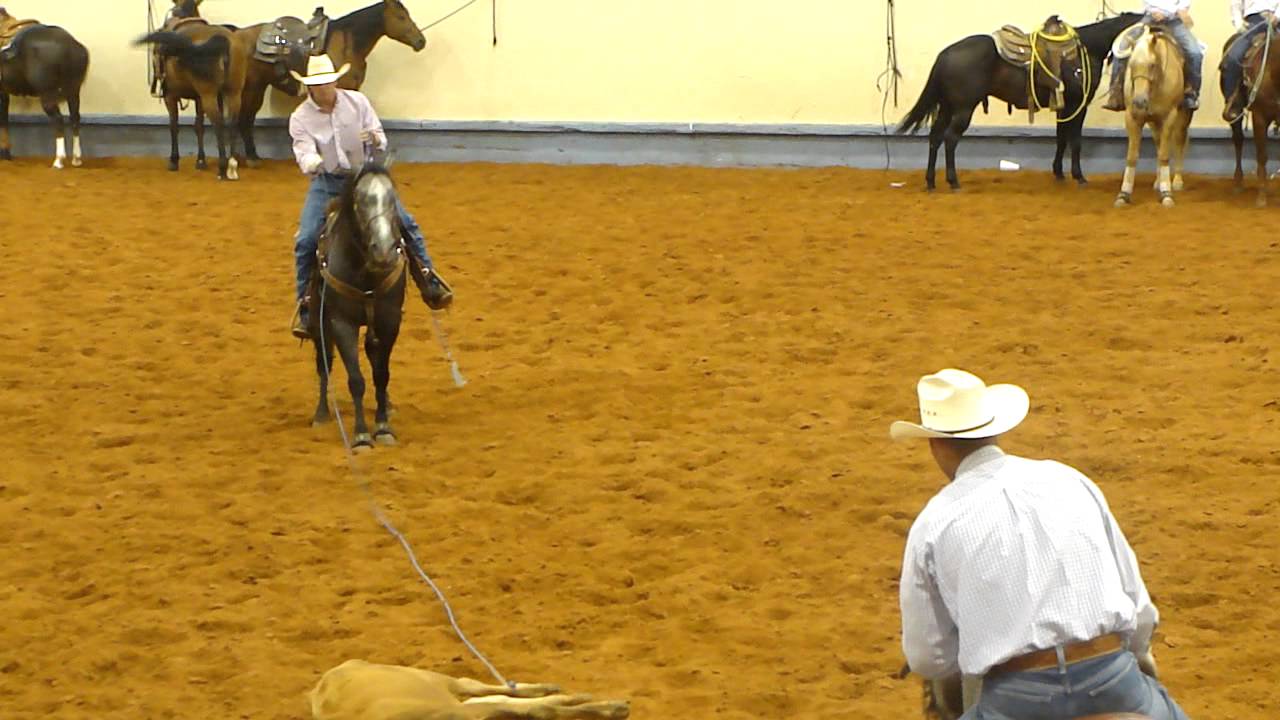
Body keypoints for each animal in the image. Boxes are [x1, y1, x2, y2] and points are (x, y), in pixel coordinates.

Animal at [0, 7, 90, 168]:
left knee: (59, 119)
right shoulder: (4, 92)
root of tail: (71, 45)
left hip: (48, 96)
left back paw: (59, 160)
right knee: (75, 118)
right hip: (73, 92)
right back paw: (76, 158)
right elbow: (4, 120)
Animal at [136, 0, 248, 180]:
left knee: (218, 123)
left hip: (209, 94)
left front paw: (174, 160)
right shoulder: (198, 98)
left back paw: (222, 168)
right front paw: (201, 161)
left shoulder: (170, 96)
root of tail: (224, 40)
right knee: (232, 122)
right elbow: (198, 126)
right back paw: (232, 165)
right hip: (234, 93)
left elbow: (174, 125)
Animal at [308, 162, 409, 449]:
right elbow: (356, 379)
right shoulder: (342, 323)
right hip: (319, 322)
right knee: (324, 363)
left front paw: (383, 426)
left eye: (392, 199)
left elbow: (381, 374)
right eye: (360, 202)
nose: (384, 251)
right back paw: (321, 413)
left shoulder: (389, 321)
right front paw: (361, 435)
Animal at [897, 12, 1142, 191]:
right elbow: (1075, 141)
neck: (1086, 51)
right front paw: (1079, 177)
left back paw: (931, 182)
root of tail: (945, 55)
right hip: (963, 109)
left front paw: (1059, 173)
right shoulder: (1077, 106)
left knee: (935, 138)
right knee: (950, 139)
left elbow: (1061, 139)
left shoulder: (1063, 108)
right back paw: (953, 181)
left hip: (948, 107)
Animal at [1114, 25, 1193, 208]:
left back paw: (1176, 181)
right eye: (1131, 65)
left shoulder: (1170, 117)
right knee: (1158, 143)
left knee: (1179, 143)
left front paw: (1166, 195)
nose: (1139, 101)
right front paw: (1124, 195)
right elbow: (1132, 156)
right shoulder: (1132, 118)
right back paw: (1158, 181)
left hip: (1182, 118)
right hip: (1154, 123)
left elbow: (1164, 154)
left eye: (1152, 65)